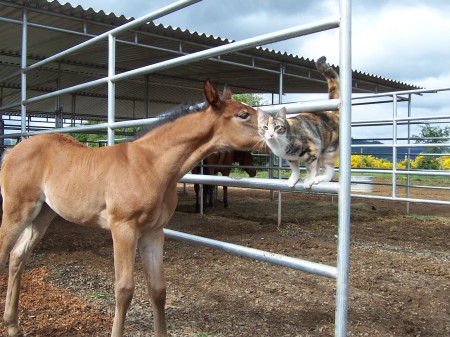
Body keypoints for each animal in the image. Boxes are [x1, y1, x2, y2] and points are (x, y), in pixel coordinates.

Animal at [0, 80, 260, 336]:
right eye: (244, 114)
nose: (274, 132)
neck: (149, 165)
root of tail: (12, 150)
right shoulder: (123, 229)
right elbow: (124, 290)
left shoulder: (153, 233)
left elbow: (158, 290)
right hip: (16, 211)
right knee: (5, 252)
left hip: (42, 215)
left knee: (17, 256)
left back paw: (12, 325)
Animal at [258, 54, 340, 186]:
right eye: (265, 127)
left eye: (277, 127)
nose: (270, 135)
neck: (279, 144)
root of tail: (332, 113)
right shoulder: (291, 158)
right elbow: (295, 169)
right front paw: (293, 179)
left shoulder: (313, 150)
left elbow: (310, 168)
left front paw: (309, 180)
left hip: (329, 149)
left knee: (328, 170)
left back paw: (318, 178)